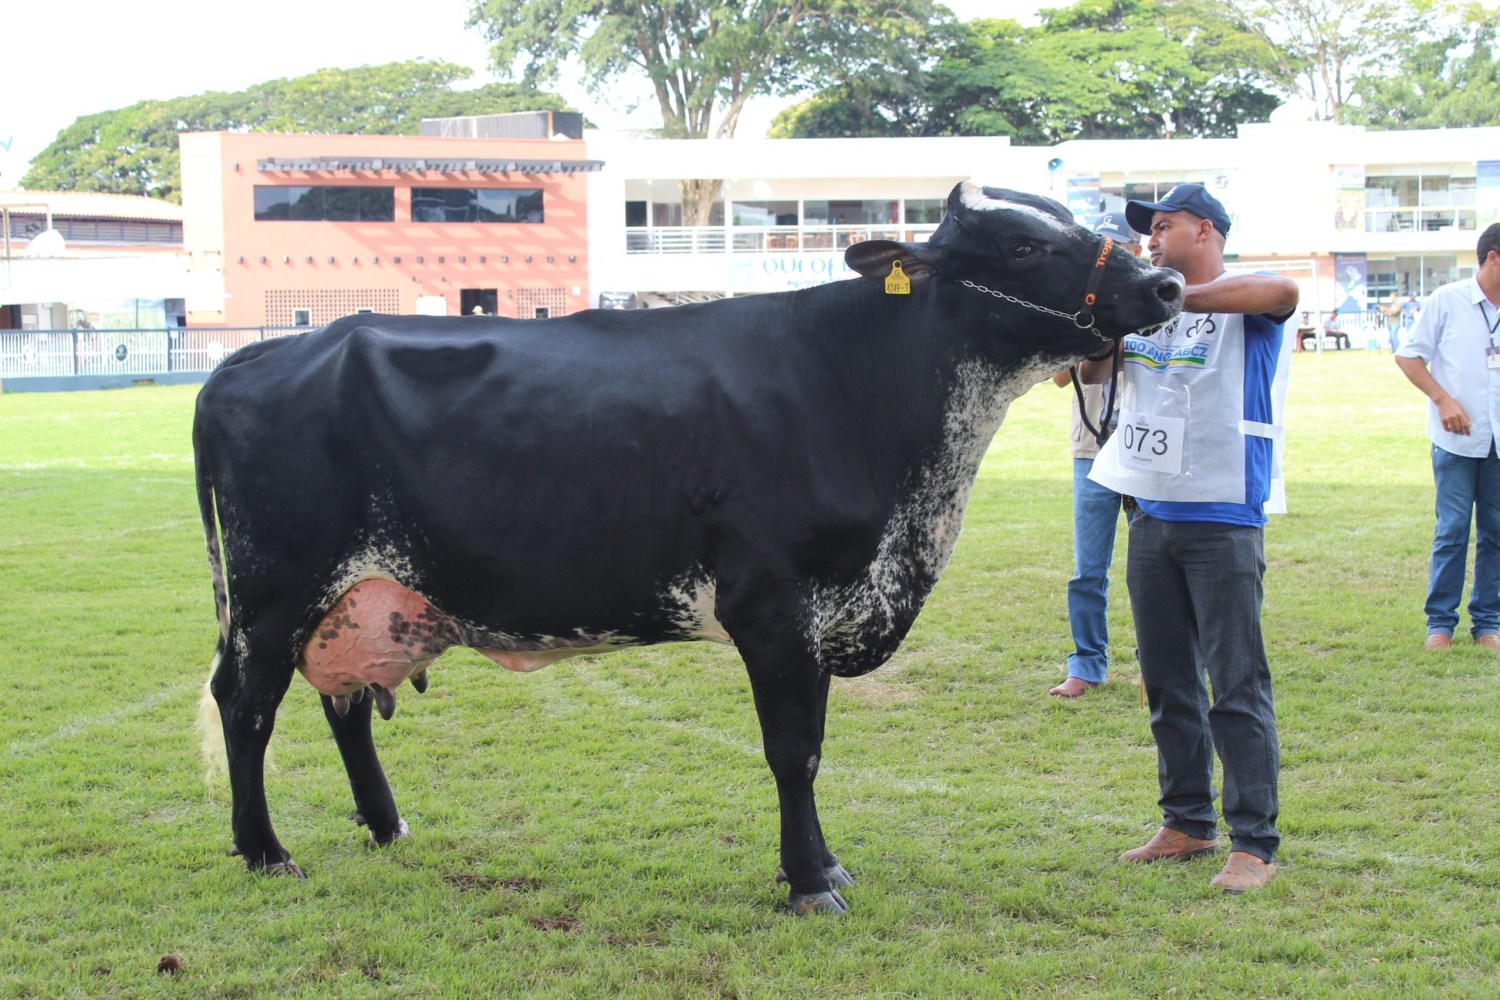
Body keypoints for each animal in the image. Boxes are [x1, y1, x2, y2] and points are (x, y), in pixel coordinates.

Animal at [196, 182, 1182, 917]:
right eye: (1019, 247)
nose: (1168, 285)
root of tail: (258, 355)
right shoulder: (773, 602)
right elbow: (793, 749)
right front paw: (809, 883)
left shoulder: (828, 605)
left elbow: (813, 740)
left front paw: (820, 865)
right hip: (274, 591)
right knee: (247, 705)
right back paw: (264, 851)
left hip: (361, 597)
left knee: (344, 703)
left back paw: (385, 826)